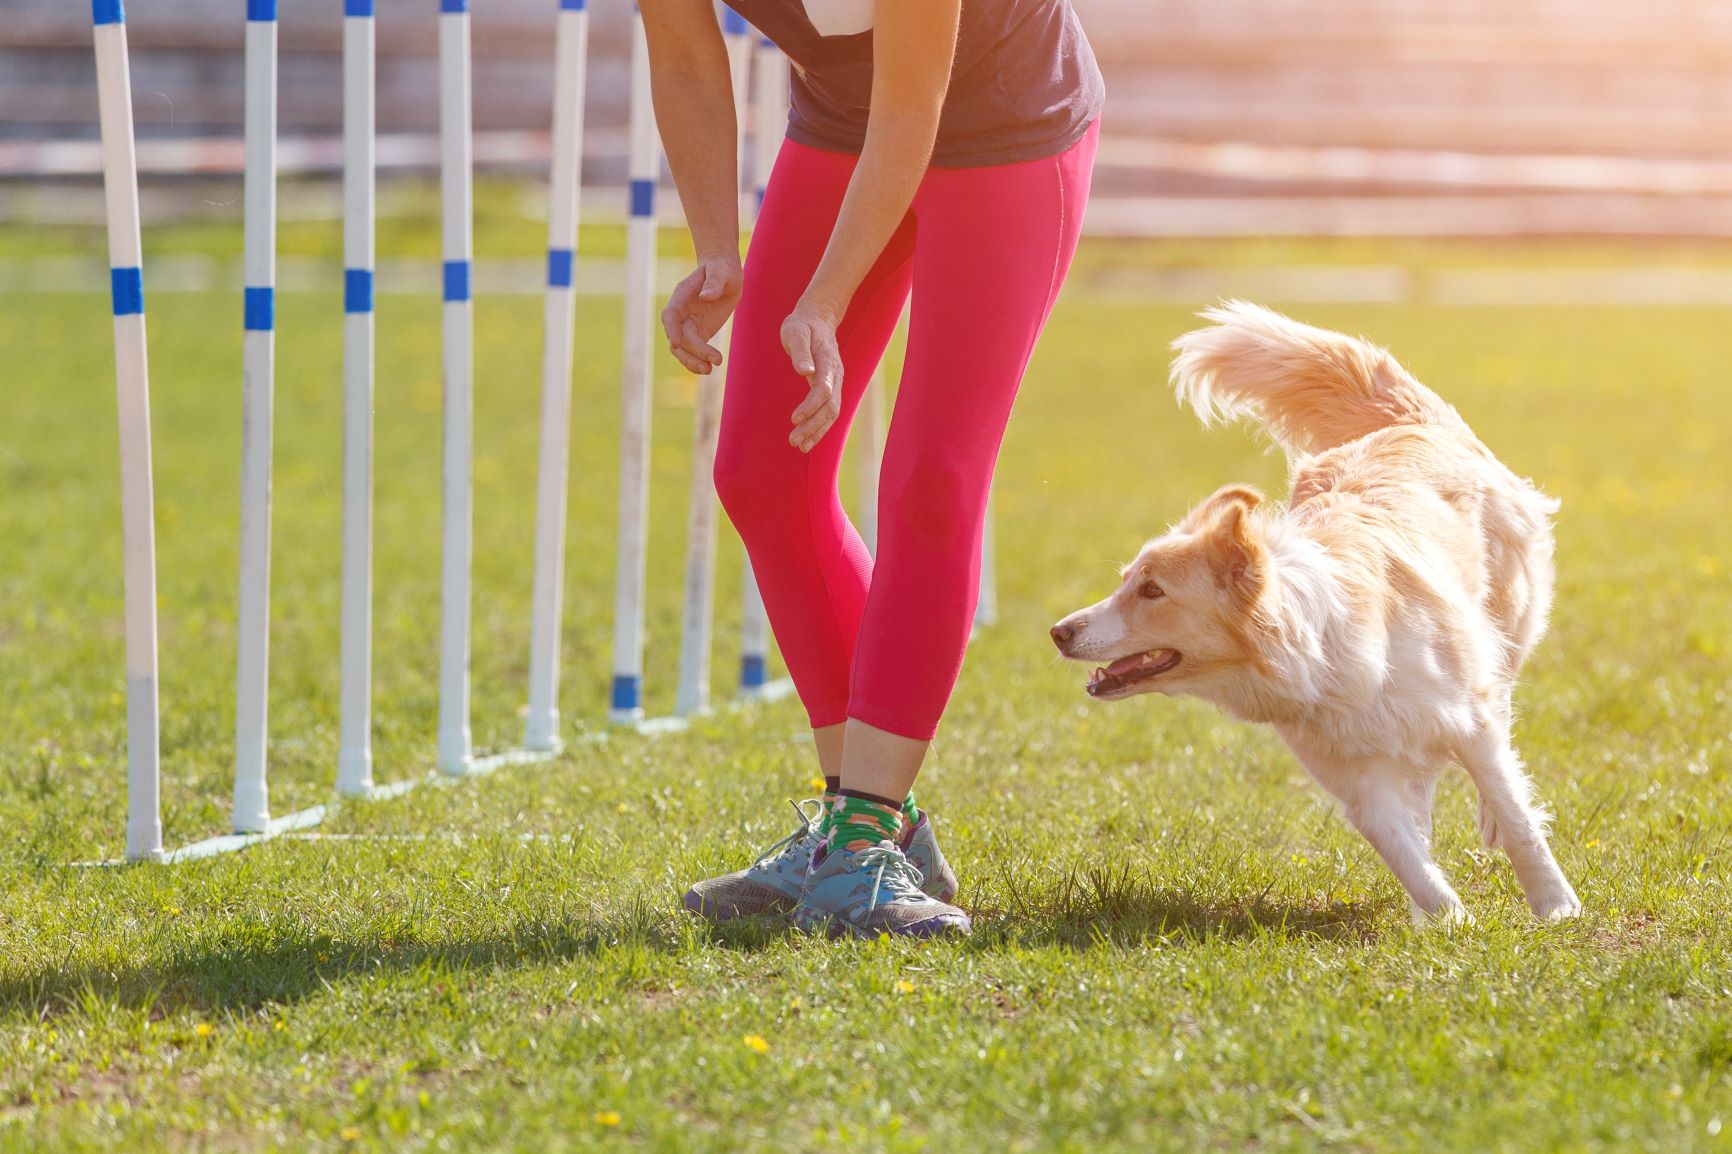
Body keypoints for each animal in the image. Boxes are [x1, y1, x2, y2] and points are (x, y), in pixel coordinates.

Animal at [1039, 301, 1586, 921]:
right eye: (1126, 582)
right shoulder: (1359, 783)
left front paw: (1555, 907)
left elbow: (1517, 816)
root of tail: (1410, 421)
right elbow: (1407, 857)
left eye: (1152, 591)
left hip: (1506, 623)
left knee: (1503, 702)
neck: (1323, 651)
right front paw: (1447, 922)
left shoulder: (1468, 722)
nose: (1058, 632)